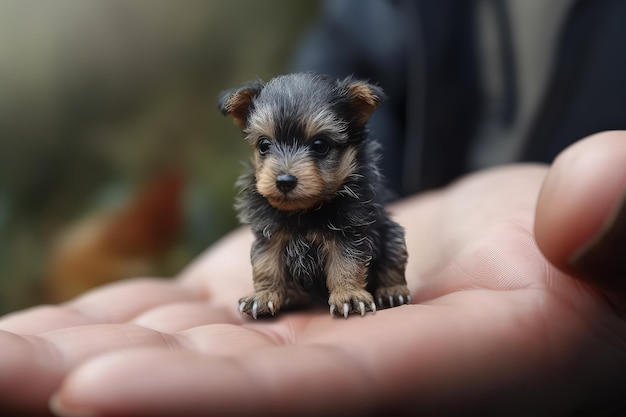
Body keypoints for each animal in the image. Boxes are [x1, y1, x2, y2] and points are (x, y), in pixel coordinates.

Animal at [218, 72, 410, 318]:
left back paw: (393, 291)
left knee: (392, 261)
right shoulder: (269, 234)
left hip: (393, 235)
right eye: (264, 145)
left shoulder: (348, 232)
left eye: (320, 145)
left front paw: (349, 296)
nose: (284, 181)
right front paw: (264, 295)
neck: (304, 210)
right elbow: (266, 265)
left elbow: (346, 264)